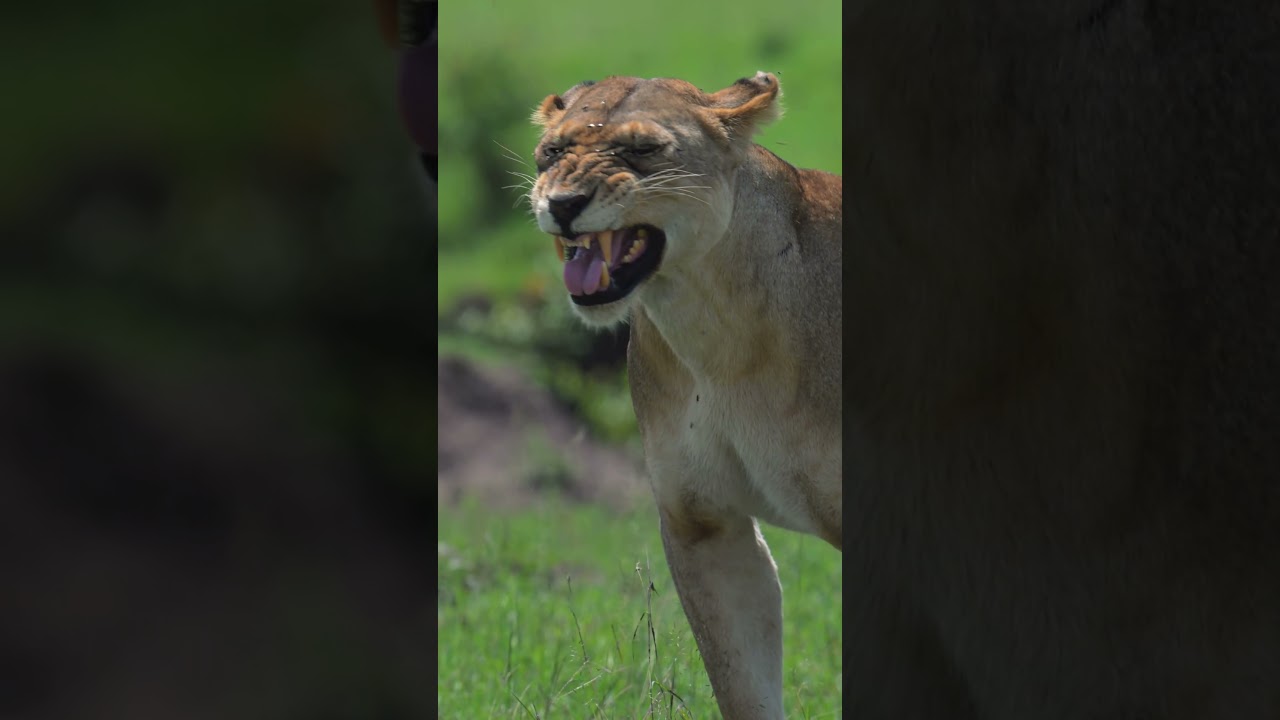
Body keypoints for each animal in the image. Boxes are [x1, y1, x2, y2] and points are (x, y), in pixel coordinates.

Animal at [529, 72, 842, 718]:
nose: (562, 205)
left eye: (642, 149)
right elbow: (742, 683)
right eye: (552, 151)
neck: (717, 329)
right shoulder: (703, 523)